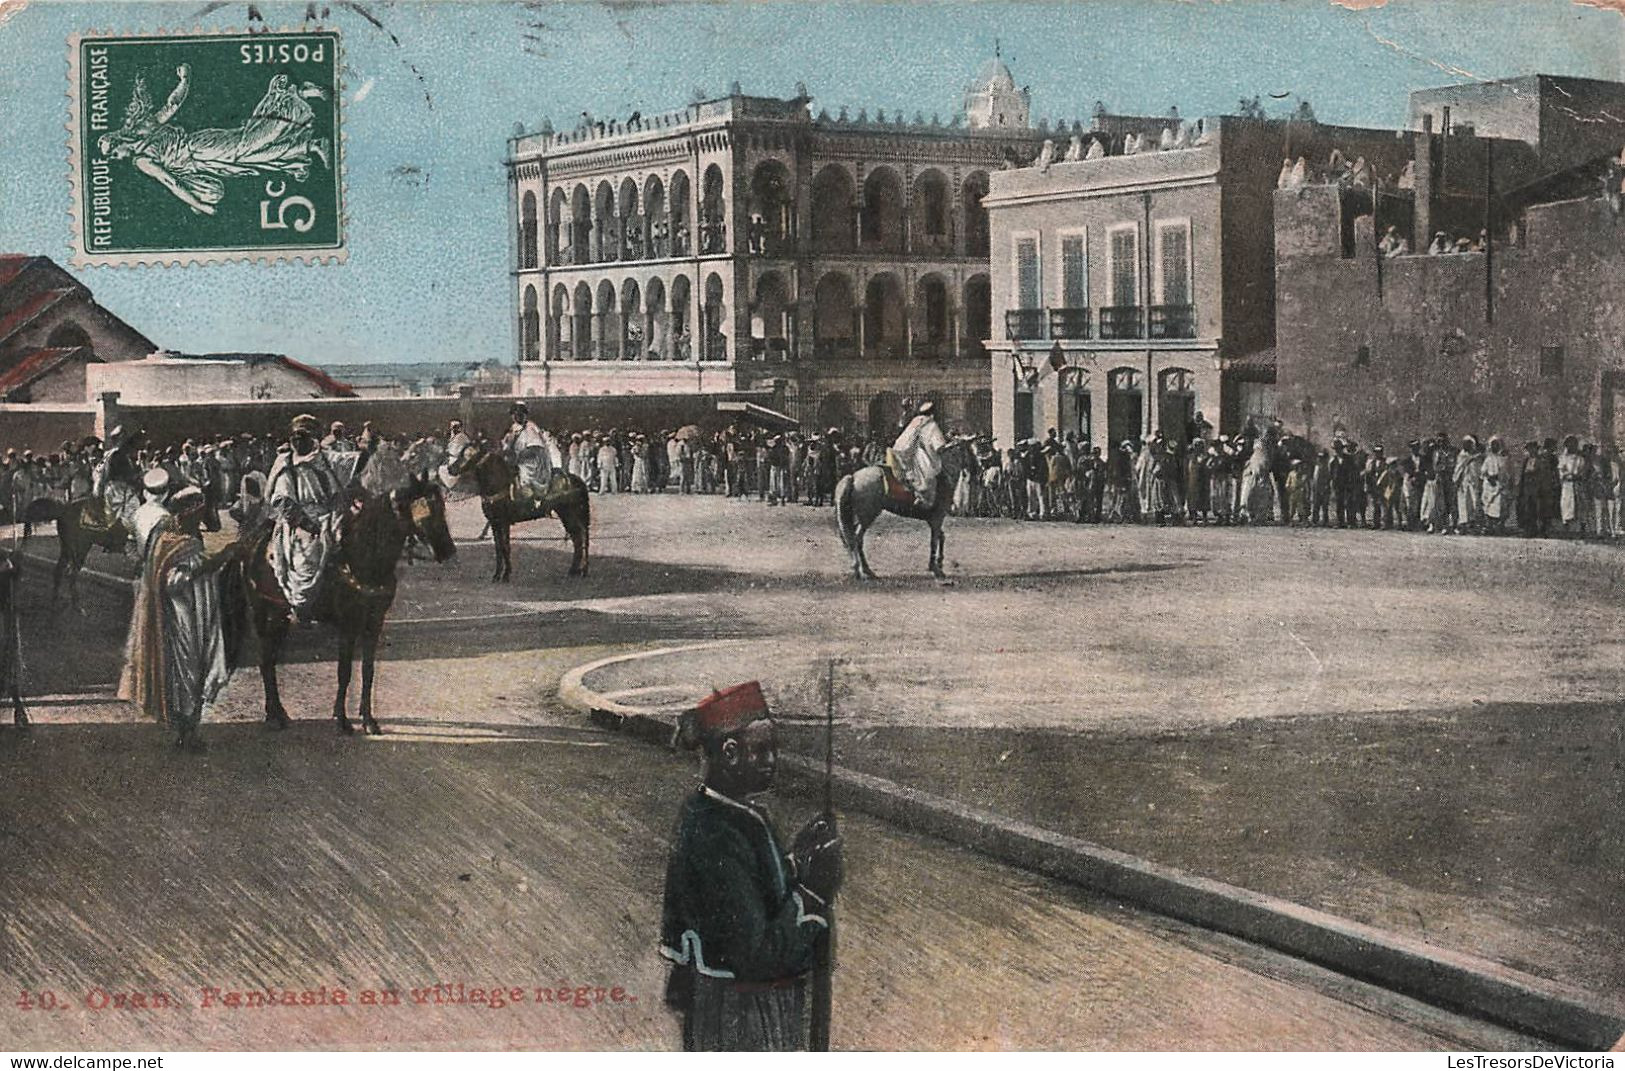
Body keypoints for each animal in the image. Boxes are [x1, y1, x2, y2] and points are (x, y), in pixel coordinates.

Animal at [242, 477, 458, 737]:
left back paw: (278, 713)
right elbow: (344, 672)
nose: (448, 550)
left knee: (270, 660)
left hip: (281, 618)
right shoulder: (348, 625)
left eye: (442, 509)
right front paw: (342, 720)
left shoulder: (374, 623)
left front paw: (368, 720)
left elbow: (367, 671)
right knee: (265, 660)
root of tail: (254, 542)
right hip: (267, 614)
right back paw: (274, 717)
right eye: (427, 512)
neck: (365, 559)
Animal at [451, 445, 591, 581]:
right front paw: (497, 575)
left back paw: (583, 571)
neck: (499, 483)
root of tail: (577, 481)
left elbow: (505, 547)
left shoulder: (503, 523)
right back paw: (574, 570)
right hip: (566, 515)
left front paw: (506, 575)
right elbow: (498, 548)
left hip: (574, 514)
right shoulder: (495, 523)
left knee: (583, 537)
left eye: (467, 455)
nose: (450, 469)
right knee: (577, 539)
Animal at [838, 438, 975, 581]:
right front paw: (936, 569)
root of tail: (853, 477)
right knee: (857, 539)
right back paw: (863, 571)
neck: (943, 478)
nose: (974, 469)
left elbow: (941, 537)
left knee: (853, 538)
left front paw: (939, 563)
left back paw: (865, 571)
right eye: (969, 450)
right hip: (867, 517)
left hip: (857, 517)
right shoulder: (937, 518)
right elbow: (934, 541)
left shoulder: (934, 520)